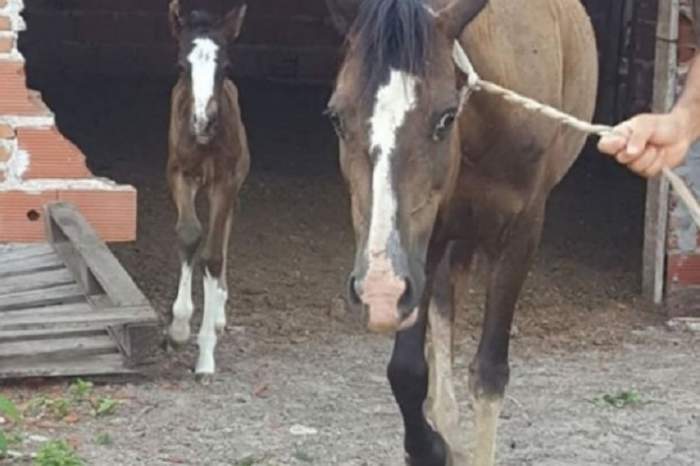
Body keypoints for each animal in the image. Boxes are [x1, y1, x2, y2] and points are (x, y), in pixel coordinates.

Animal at [324, 0, 598, 464]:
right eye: (337, 119)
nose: (379, 289)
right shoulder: (426, 241)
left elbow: (489, 374)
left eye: (446, 117)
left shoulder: (520, 236)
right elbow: (407, 370)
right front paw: (432, 446)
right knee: (442, 307)